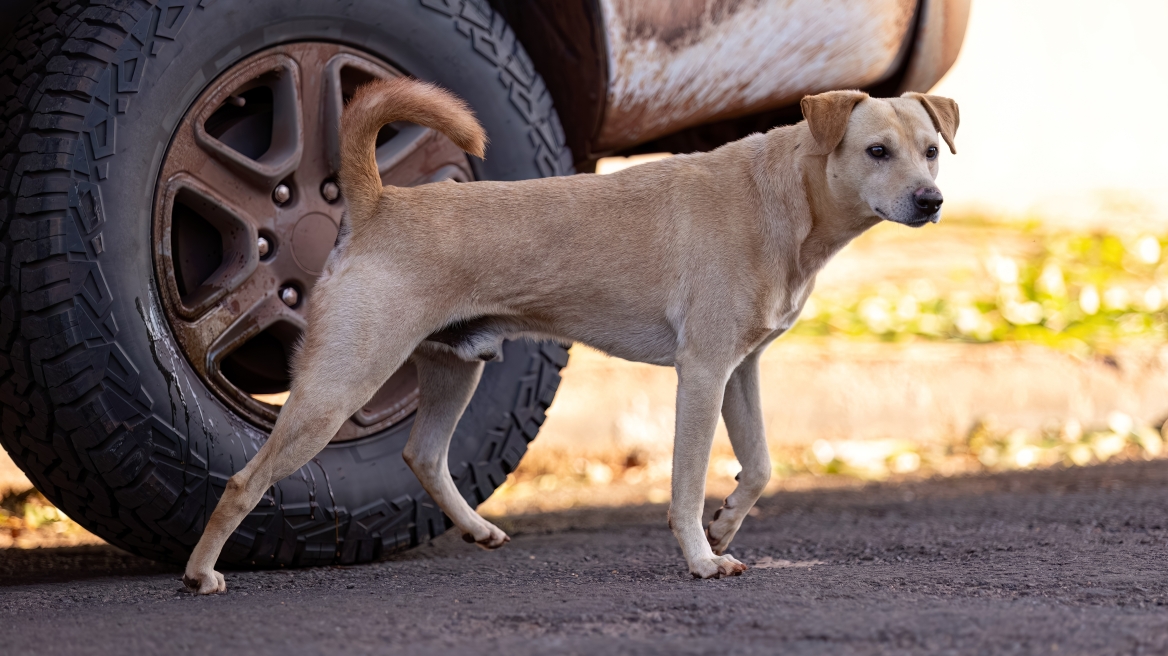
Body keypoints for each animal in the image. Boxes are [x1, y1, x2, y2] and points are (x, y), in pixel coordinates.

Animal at [177, 77, 953, 592]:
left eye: (932, 150)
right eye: (876, 150)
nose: (932, 200)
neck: (781, 196)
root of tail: (379, 202)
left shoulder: (742, 369)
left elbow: (760, 466)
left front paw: (726, 522)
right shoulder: (703, 373)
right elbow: (684, 482)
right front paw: (701, 556)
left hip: (456, 365)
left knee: (423, 454)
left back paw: (476, 527)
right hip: (341, 383)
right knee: (244, 480)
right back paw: (199, 572)